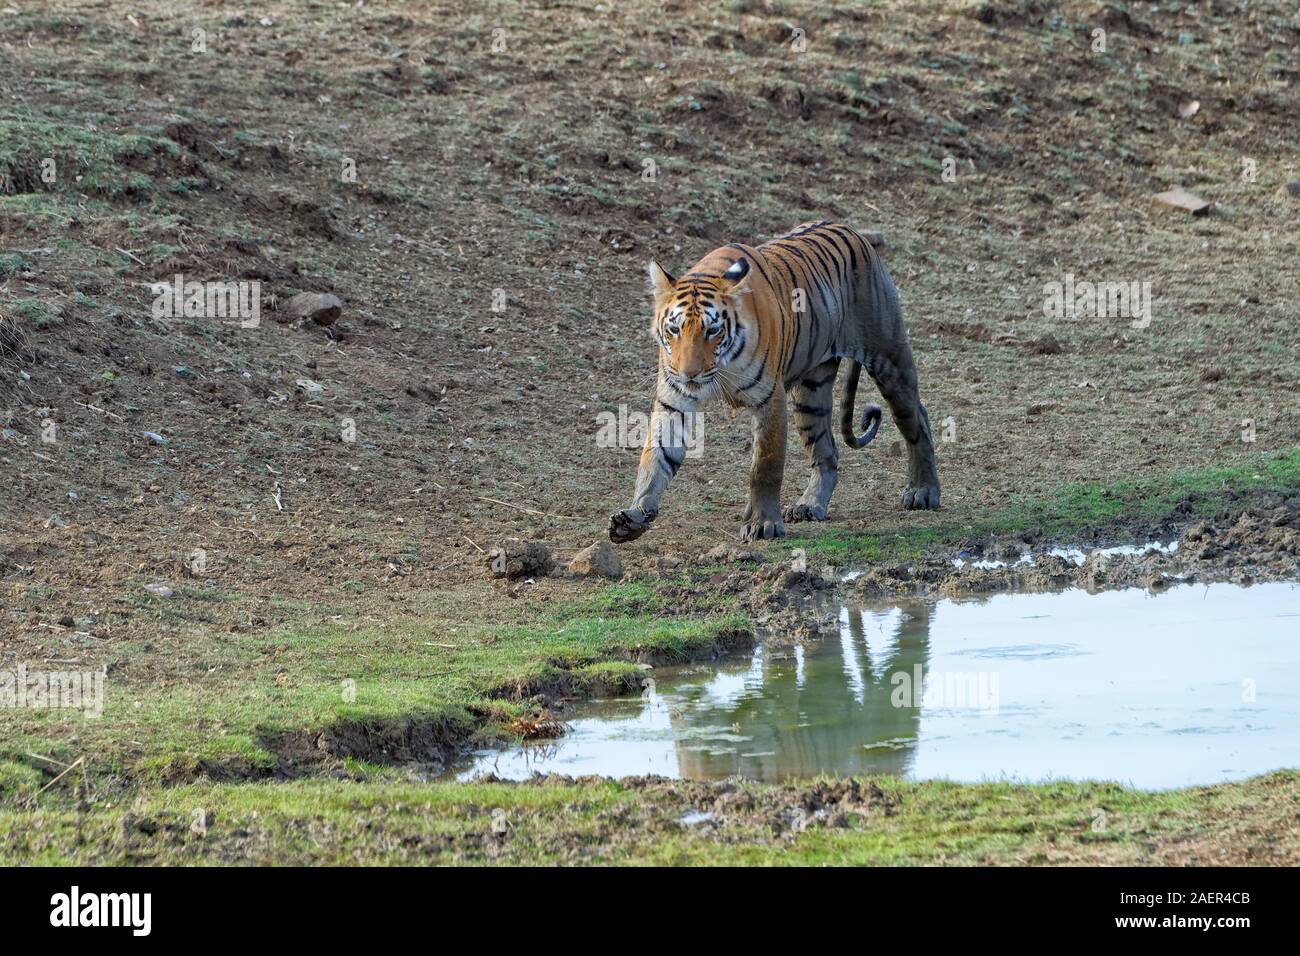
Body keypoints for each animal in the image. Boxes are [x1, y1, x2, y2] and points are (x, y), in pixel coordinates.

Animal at [608, 220, 940, 545]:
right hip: (810, 395)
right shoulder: (673, 401)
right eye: (674, 329)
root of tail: (853, 231)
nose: (688, 373)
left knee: (917, 419)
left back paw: (923, 492)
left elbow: (765, 466)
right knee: (827, 451)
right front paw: (635, 515)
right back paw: (810, 505)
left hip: (889, 360)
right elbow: (655, 458)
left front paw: (763, 524)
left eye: (712, 330)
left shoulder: (770, 398)